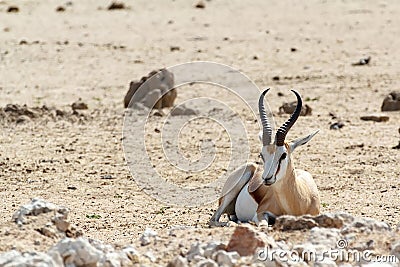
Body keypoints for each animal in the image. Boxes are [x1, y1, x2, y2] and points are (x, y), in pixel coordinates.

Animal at [209, 89, 318, 226]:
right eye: (262, 155)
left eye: (283, 154)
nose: (266, 178)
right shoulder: (260, 214)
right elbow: (263, 225)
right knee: (214, 219)